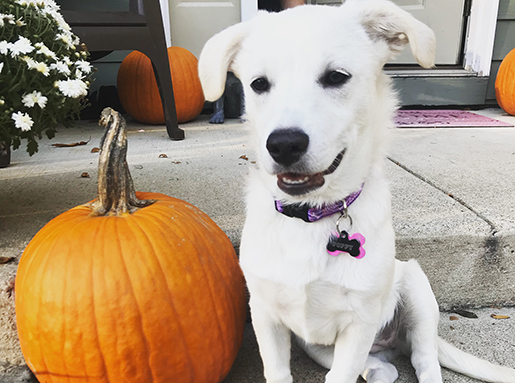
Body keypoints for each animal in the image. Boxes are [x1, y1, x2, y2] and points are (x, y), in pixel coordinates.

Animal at [199, 1, 515, 382]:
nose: (283, 144)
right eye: (258, 84)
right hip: (323, 350)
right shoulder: (264, 312)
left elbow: (344, 373)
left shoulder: (359, 322)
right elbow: (278, 371)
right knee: (383, 370)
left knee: (425, 359)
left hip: (415, 288)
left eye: (336, 77)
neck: (310, 215)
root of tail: (393, 343)